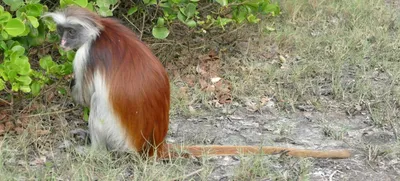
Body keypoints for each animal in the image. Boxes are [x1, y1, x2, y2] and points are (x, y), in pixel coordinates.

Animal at [42, 5, 352, 158]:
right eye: (61, 30)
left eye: (70, 32)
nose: (62, 42)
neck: (102, 30)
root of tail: (154, 145)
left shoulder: (85, 54)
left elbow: (84, 95)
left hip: (120, 139)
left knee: (97, 102)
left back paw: (95, 153)